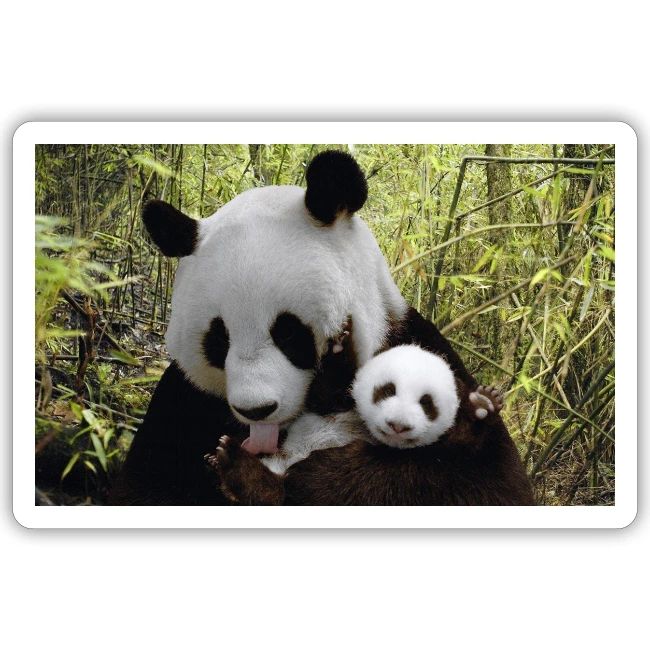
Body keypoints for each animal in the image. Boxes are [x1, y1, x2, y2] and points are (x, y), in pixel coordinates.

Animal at [108, 150, 531, 506]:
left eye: (288, 333)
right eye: (219, 339)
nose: (257, 410)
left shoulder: (417, 346)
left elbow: (483, 483)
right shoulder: (184, 403)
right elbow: (145, 486)